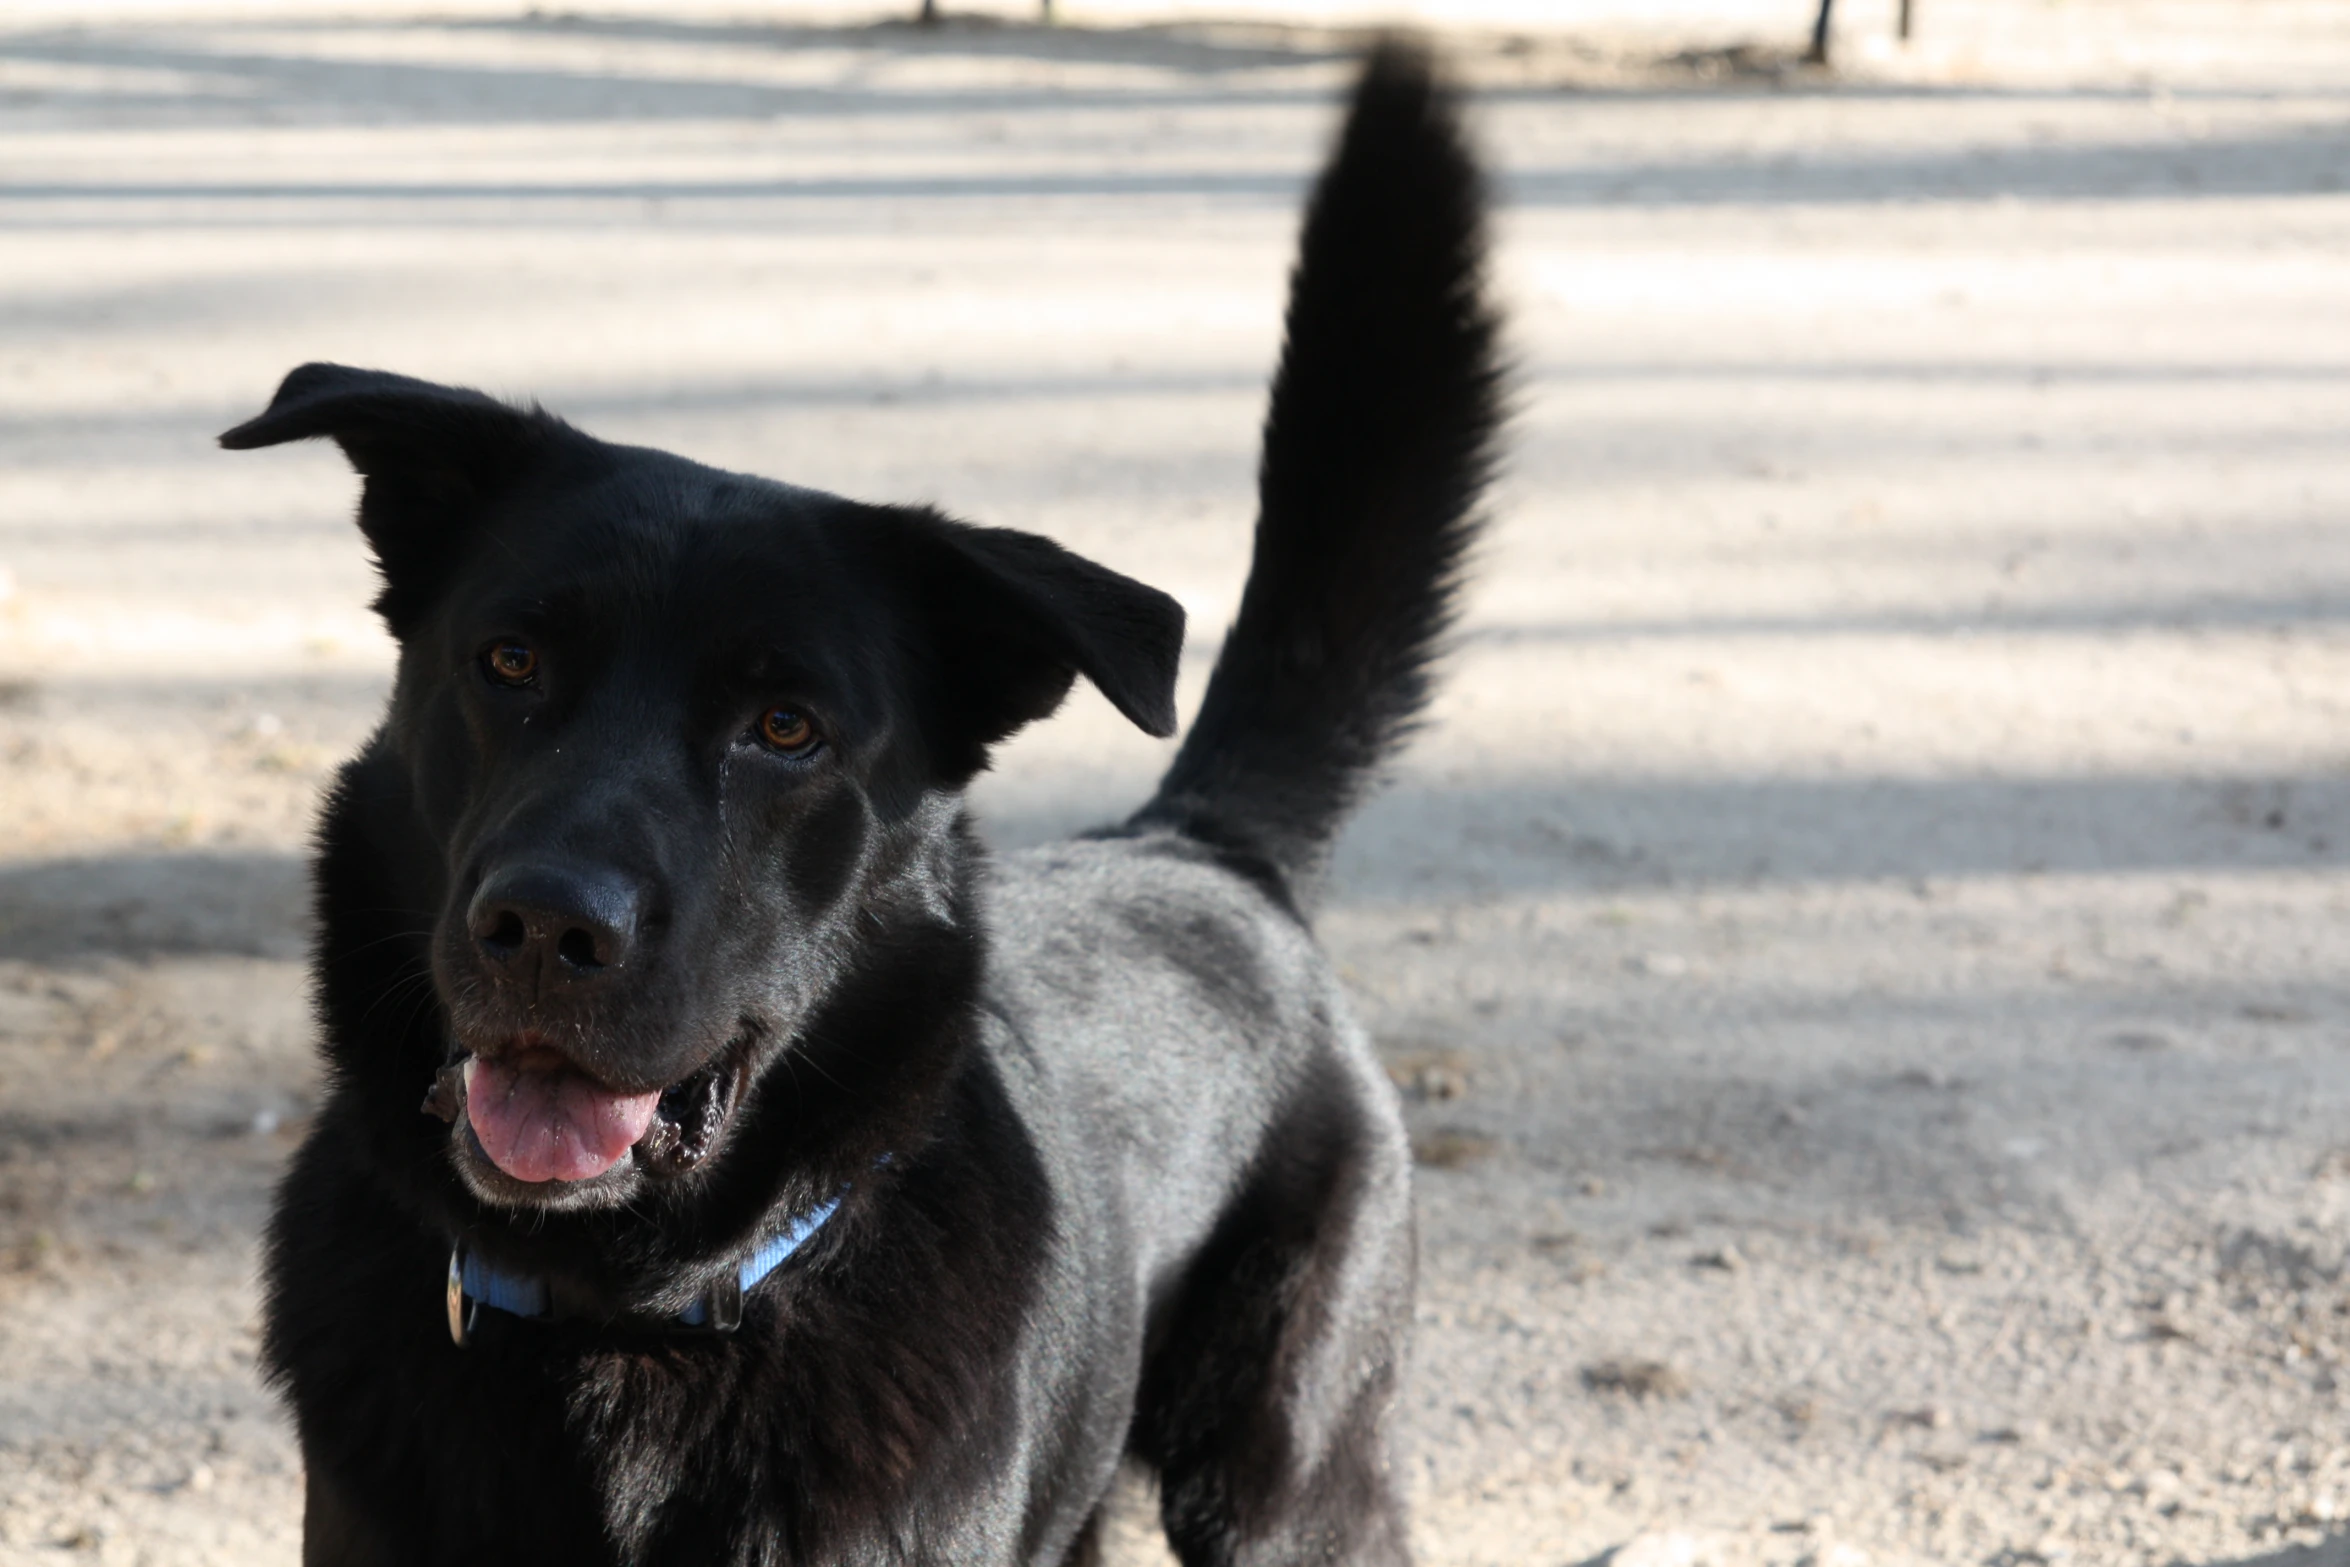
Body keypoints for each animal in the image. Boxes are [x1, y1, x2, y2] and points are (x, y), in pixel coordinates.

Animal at [224, 42, 1504, 1559]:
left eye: (786, 727)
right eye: (511, 661)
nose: (543, 925)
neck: (624, 1317)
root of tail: (1199, 849)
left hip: (1290, 1484)